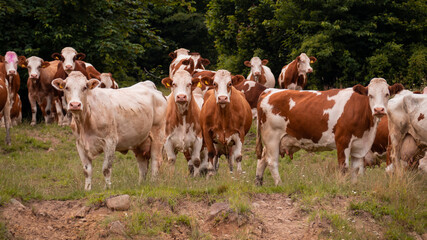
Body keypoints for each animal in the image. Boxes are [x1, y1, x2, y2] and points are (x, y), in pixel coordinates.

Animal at [258, 78, 404, 185]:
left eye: (387, 94)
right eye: (370, 95)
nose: (379, 110)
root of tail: (270, 91)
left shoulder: (360, 145)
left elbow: (356, 168)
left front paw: (354, 186)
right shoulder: (342, 140)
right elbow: (343, 167)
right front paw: (342, 185)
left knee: (262, 158)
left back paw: (258, 182)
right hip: (272, 137)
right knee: (271, 161)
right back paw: (279, 184)